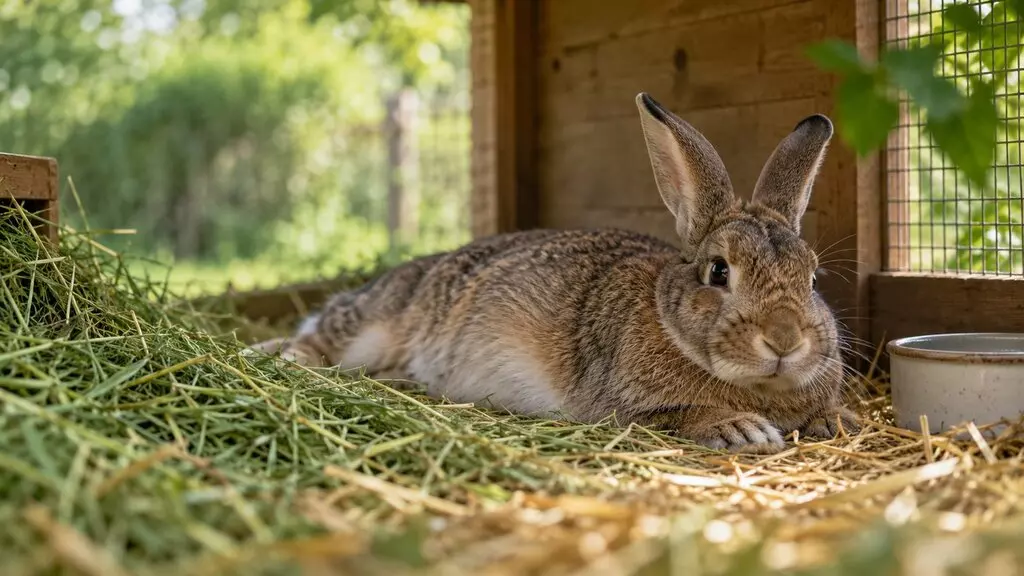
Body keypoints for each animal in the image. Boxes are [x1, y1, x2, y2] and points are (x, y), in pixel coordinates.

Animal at [250, 92, 860, 454]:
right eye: (718, 271)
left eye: (811, 278)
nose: (784, 340)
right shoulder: (621, 405)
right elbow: (675, 415)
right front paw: (740, 428)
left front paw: (840, 421)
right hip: (373, 325)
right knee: (321, 336)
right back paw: (276, 355)